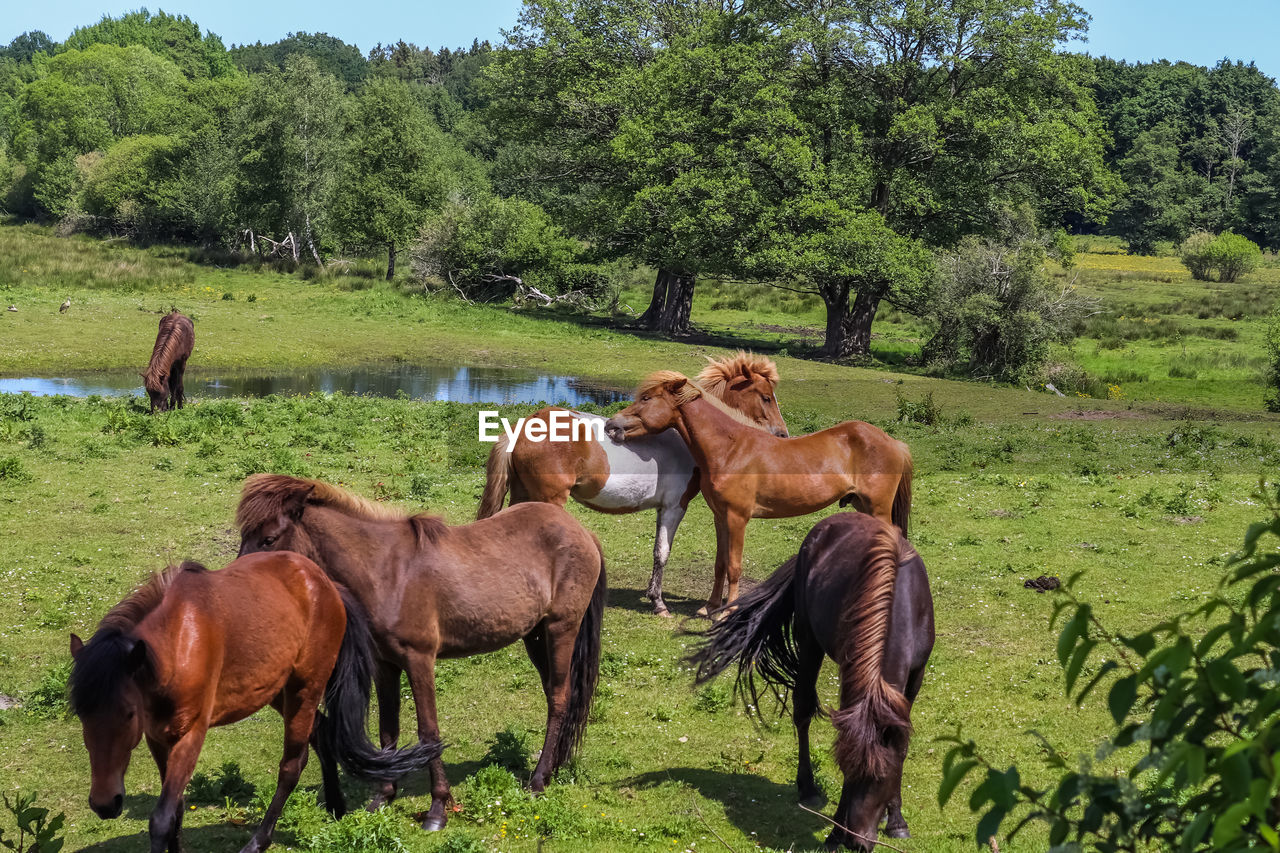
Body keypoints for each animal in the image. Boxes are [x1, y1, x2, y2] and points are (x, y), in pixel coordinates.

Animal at [70, 550, 442, 850]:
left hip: (305, 688)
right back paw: (335, 806)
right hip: (278, 690)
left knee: (292, 766)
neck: (177, 645)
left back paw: (258, 841)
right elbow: (174, 809)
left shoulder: (190, 735)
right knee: (321, 731)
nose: (105, 803)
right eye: (82, 715)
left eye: (128, 714)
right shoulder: (159, 737)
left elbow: (161, 818)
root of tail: (325, 584)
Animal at [240, 468, 609, 824]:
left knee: (559, 699)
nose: (245, 582)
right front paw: (382, 797)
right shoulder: (384, 665)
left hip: (561, 628)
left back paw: (538, 780)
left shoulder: (419, 660)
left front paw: (437, 809)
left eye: (269, 538)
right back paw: (552, 769)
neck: (387, 572)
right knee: (555, 695)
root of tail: (582, 532)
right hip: (535, 636)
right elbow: (388, 730)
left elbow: (429, 732)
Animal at [476, 348, 783, 614]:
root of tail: (522, 427)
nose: (781, 434)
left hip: (523, 495)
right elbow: (662, 552)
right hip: (548, 500)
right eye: (766, 397)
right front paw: (658, 603)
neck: (686, 441)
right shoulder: (675, 506)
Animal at [601, 371, 911, 612]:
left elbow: (734, 565)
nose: (611, 425)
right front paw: (710, 607)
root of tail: (894, 442)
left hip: (878, 508)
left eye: (646, 399)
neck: (731, 449)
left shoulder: (738, 518)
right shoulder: (721, 518)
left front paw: (727, 610)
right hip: (863, 506)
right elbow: (720, 563)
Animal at [696, 507, 936, 845]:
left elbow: (900, 747)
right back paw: (808, 788)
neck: (898, 603)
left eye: (881, 777)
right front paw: (835, 833)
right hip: (809, 640)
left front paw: (897, 820)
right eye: (846, 769)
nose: (856, 841)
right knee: (802, 709)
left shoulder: (916, 675)